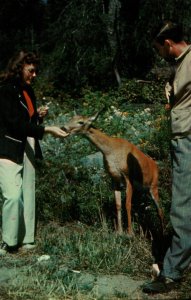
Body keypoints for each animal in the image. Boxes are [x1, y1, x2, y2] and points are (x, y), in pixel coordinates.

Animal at [63, 110, 164, 239]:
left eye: (81, 122)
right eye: (71, 118)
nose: (64, 127)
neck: (110, 151)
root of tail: (156, 166)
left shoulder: (127, 176)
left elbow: (127, 204)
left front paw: (130, 233)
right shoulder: (114, 178)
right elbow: (118, 205)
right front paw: (119, 232)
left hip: (154, 186)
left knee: (160, 210)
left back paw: (162, 233)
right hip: (142, 189)